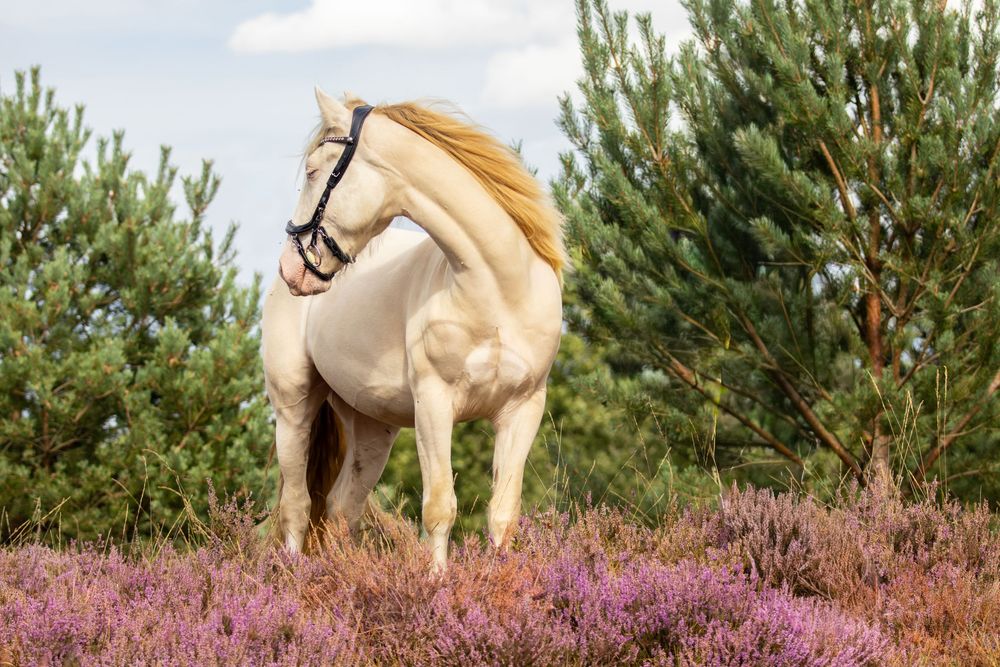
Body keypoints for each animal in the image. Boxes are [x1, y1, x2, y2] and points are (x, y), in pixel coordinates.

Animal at [261, 88, 564, 570]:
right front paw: (436, 582)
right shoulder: (434, 405)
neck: (500, 290)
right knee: (297, 506)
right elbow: (440, 507)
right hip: (293, 406)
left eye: (312, 171)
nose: (292, 269)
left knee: (341, 509)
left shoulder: (522, 409)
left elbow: (503, 514)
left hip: (371, 428)